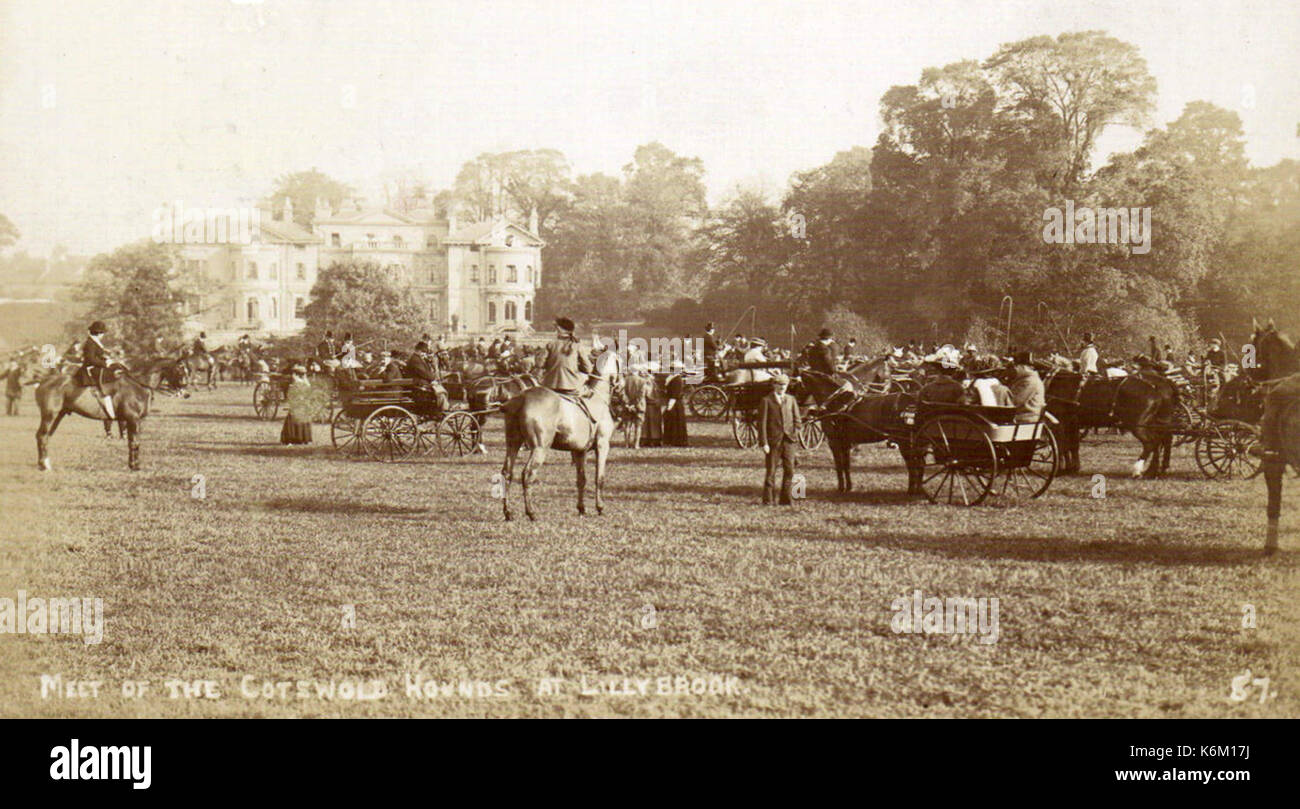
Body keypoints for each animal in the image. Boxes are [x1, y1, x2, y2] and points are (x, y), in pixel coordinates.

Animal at [499, 374, 616, 522]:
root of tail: (521, 398)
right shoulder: (602, 445)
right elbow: (599, 478)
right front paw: (600, 507)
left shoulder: (579, 451)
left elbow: (581, 480)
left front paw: (581, 508)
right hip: (540, 448)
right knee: (527, 474)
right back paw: (531, 513)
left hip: (512, 444)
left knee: (507, 473)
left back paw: (508, 512)